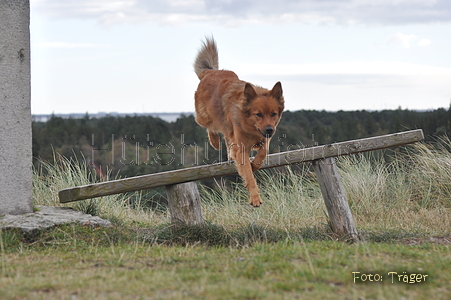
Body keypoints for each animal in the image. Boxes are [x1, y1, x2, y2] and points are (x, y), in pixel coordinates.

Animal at [193, 37, 284, 206]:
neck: (248, 124)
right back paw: (214, 141)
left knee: (227, 137)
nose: (270, 130)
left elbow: (263, 151)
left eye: (273, 114)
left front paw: (255, 164)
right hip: (204, 116)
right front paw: (255, 197)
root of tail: (210, 71)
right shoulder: (241, 149)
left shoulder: (263, 138)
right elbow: (248, 175)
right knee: (210, 127)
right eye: (258, 114)